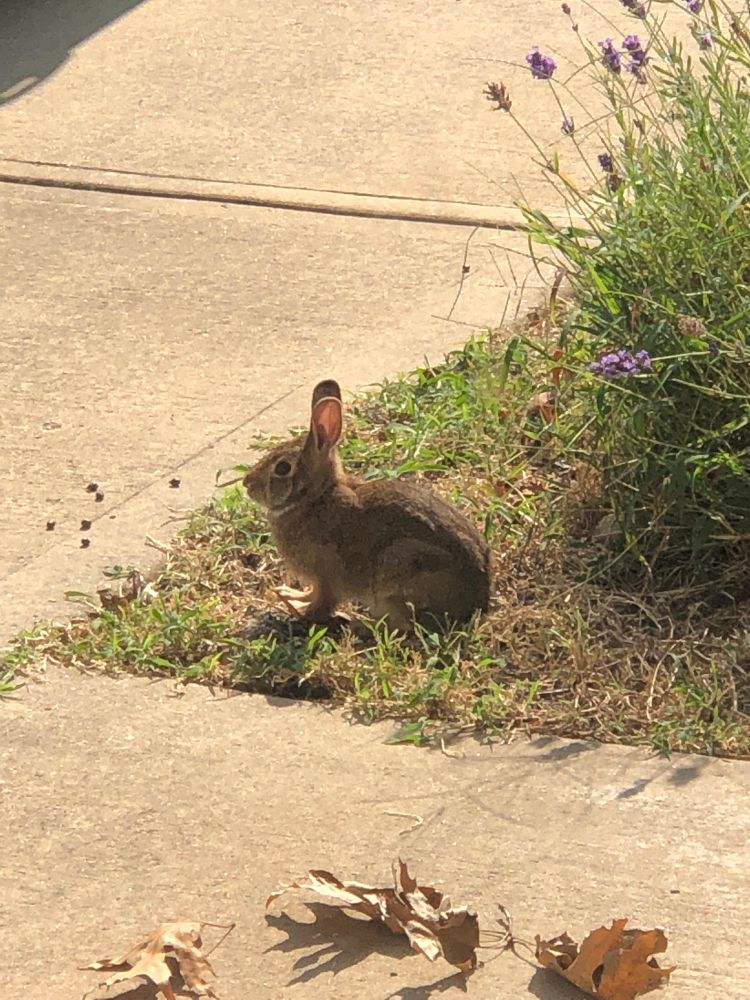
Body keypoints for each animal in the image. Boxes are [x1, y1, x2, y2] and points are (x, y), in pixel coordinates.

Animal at [242, 379, 492, 631]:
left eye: (283, 468)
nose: (247, 484)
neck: (314, 498)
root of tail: (478, 601)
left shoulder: (326, 575)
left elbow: (322, 602)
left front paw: (300, 610)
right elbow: (311, 593)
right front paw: (290, 595)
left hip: (401, 567)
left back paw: (360, 626)